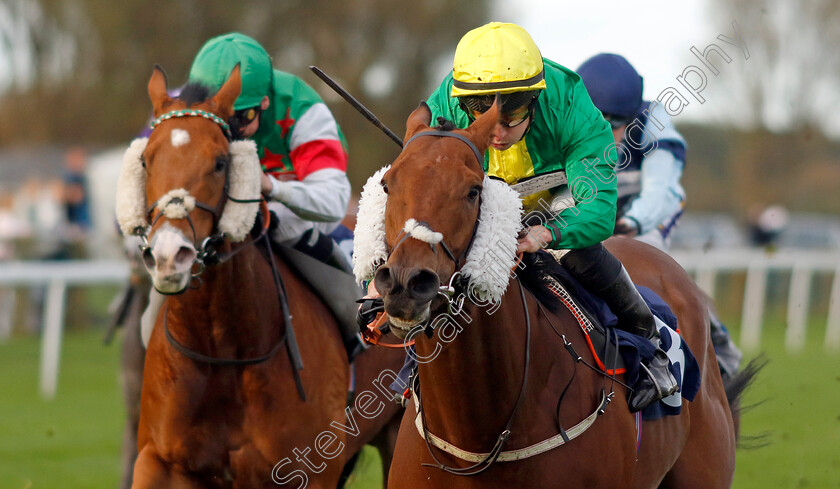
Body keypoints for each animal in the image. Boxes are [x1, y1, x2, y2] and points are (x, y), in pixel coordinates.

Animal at [118, 66, 404, 488]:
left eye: (221, 162)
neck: (222, 349)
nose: (170, 255)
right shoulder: (160, 461)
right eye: (145, 161)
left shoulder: (308, 469)